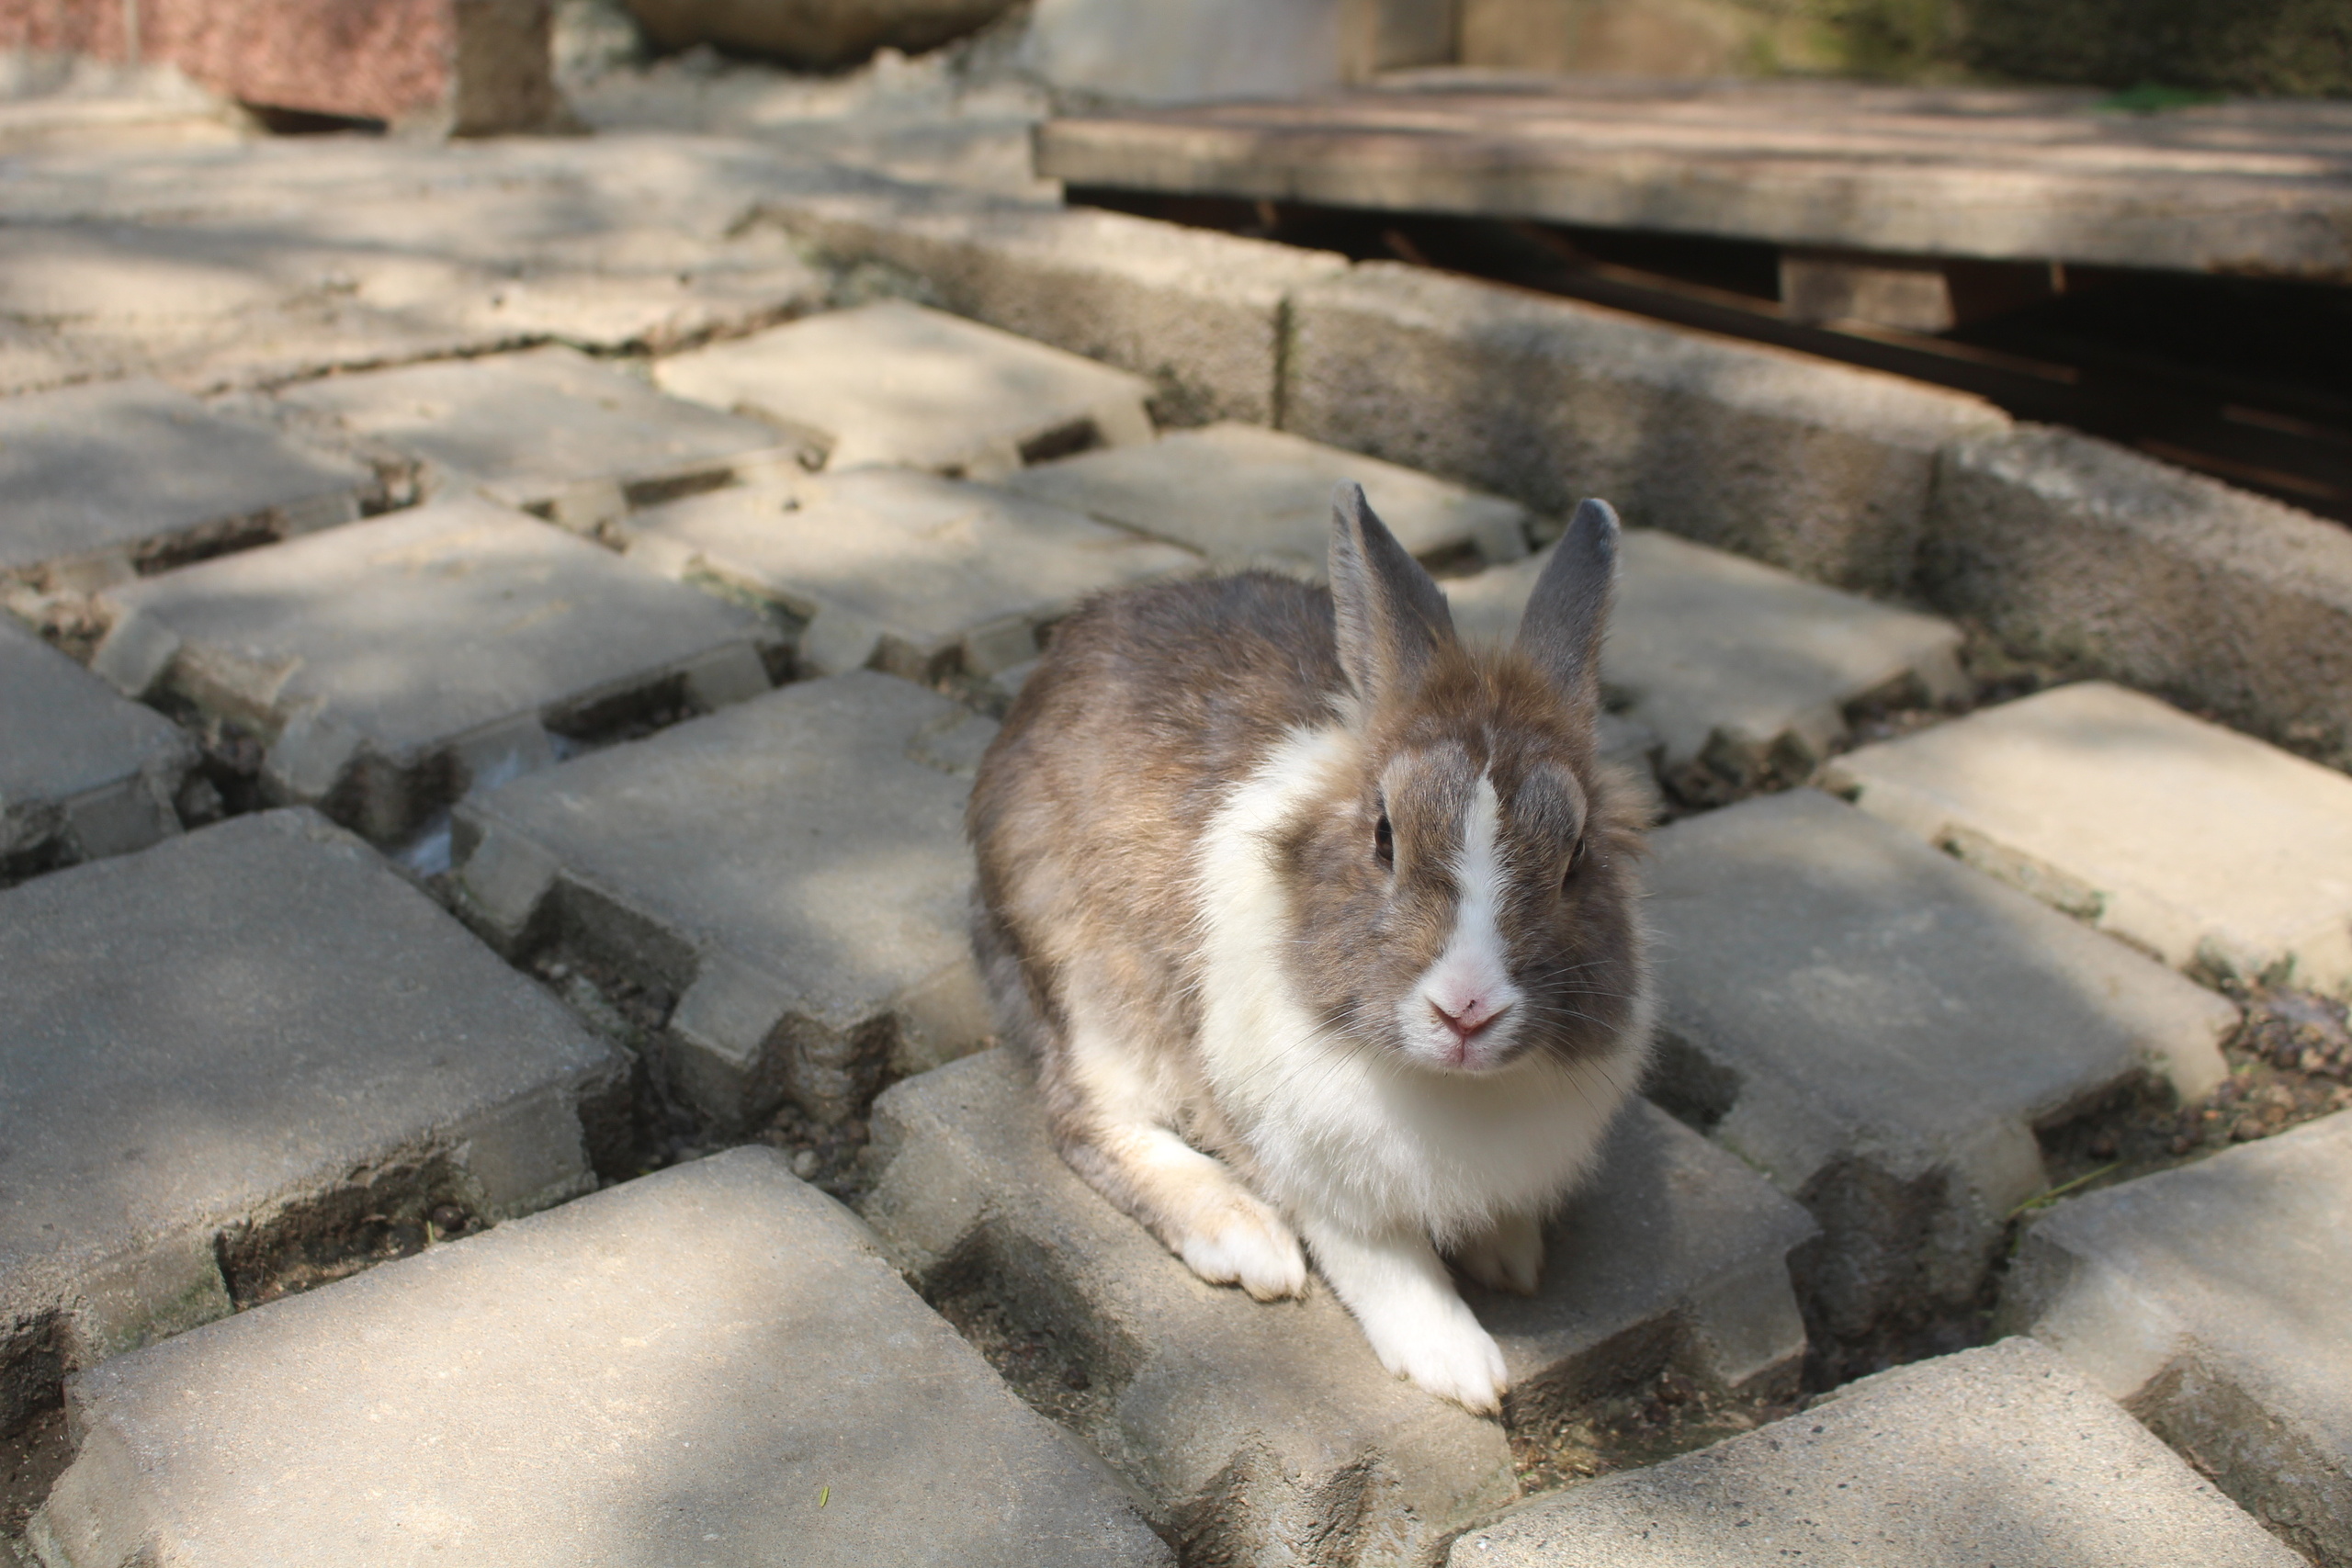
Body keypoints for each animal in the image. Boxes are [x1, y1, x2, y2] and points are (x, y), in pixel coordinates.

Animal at [964, 484, 1646, 1419]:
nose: (1467, 1008)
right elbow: (1381, 1259)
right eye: (1385, 835)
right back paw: (1241, 1233)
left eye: (1577, 856)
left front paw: (1511, 1254)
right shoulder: (1295, 1148)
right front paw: (1459, 1365)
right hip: (1087, 981)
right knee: (1083, 1117)